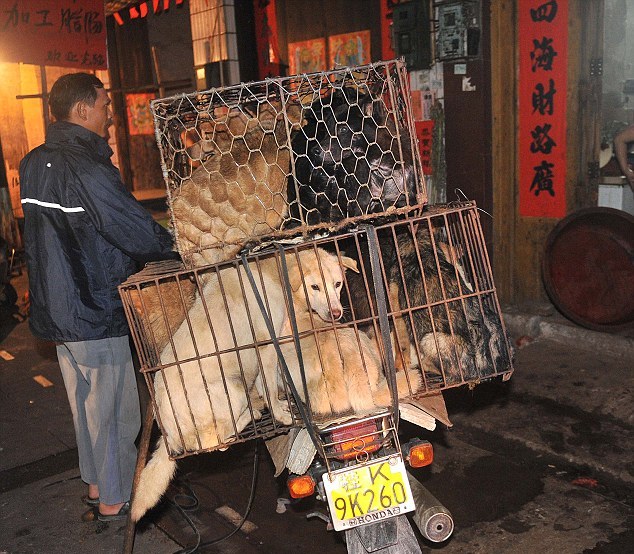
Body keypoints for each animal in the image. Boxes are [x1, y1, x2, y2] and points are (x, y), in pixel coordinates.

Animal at [132, 245, 410, 516]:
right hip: (232, 389)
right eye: (315, 287)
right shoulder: (267, 347)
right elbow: (268, 388)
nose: (336, 313)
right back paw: (252, 413)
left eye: (338, 284)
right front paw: (279, 413)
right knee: (217, 443)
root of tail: (169, 431)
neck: (272, 275)